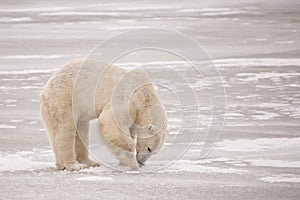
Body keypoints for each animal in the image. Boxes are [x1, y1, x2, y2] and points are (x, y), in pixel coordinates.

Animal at [40, 58, 168, 171]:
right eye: (149, 148)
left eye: (154, 152)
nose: (141, 161)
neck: (145, 96)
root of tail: (47, 86)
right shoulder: (127, 100)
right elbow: (109, 121)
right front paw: (131, 162)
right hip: (65, 97)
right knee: (65, 129)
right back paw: (73, 165)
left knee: (81, 129)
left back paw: (89, 162)